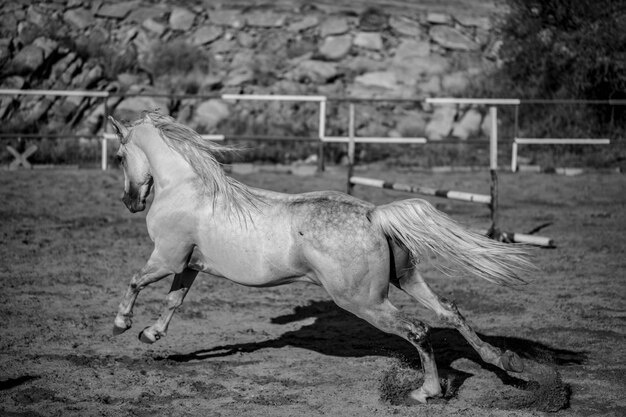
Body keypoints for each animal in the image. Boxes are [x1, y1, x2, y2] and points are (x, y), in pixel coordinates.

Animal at [108, 110, 532, 404]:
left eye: (118, 155)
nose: (130, 202)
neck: (186, 189)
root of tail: (373, 214)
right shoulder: (189, 265)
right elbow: (173, 301)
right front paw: (151, 334)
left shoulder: (167, 258)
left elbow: (134, 281)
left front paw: (122, 324)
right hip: (406, 279)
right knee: (449, 311)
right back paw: (505, 362)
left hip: (363, 301)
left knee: (418, 329)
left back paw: (425, 392)